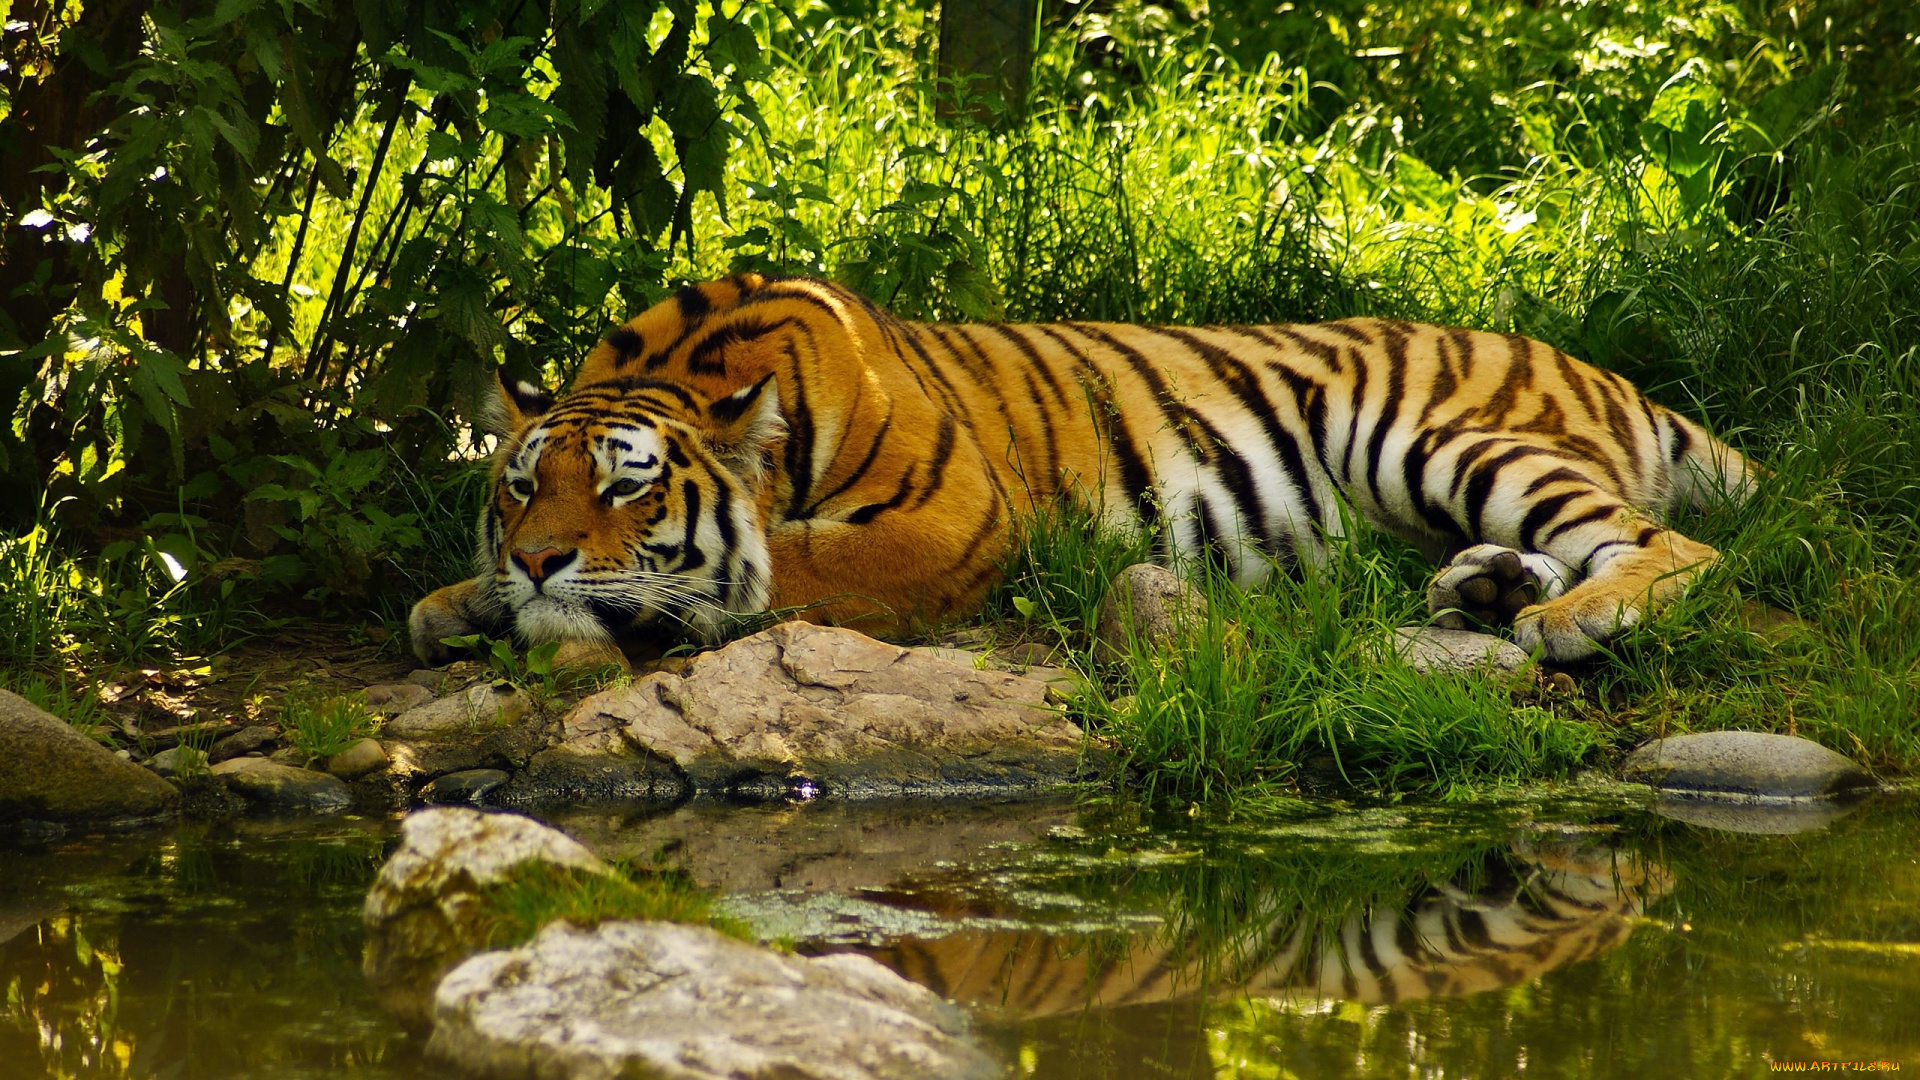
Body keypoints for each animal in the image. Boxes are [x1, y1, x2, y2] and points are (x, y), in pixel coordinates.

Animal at [408, 272, 1754, 666]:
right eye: (521, 484)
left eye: (629, 486)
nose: (539, 560)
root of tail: (1597, 368)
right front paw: (460, 600)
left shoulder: (951, 520)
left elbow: (782, 567)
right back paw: (1488, 589)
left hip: (1434, 435)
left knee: (1673, 545)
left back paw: (1569, 619)